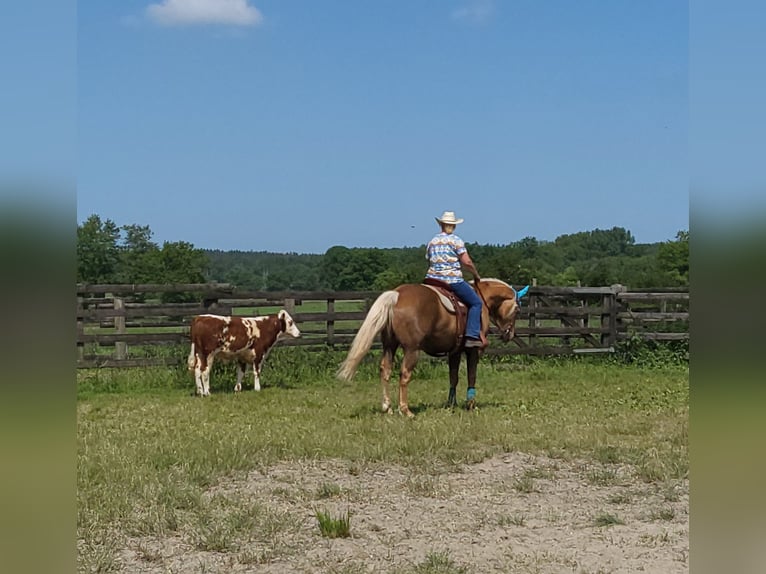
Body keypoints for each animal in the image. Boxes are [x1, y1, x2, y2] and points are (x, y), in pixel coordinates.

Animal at [337, 278, 527, 417]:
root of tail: (397, 294)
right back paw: (405, 410)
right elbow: (471, 375)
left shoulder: (454, 351)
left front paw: (451, 404)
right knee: (404, 375)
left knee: (386, 370)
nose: (509, 334)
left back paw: (388, 407)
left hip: (390, 345)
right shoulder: (473, 350)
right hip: (412, 350)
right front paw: (471, 404)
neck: (482, 300)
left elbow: (453, 377)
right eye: (517, 310)